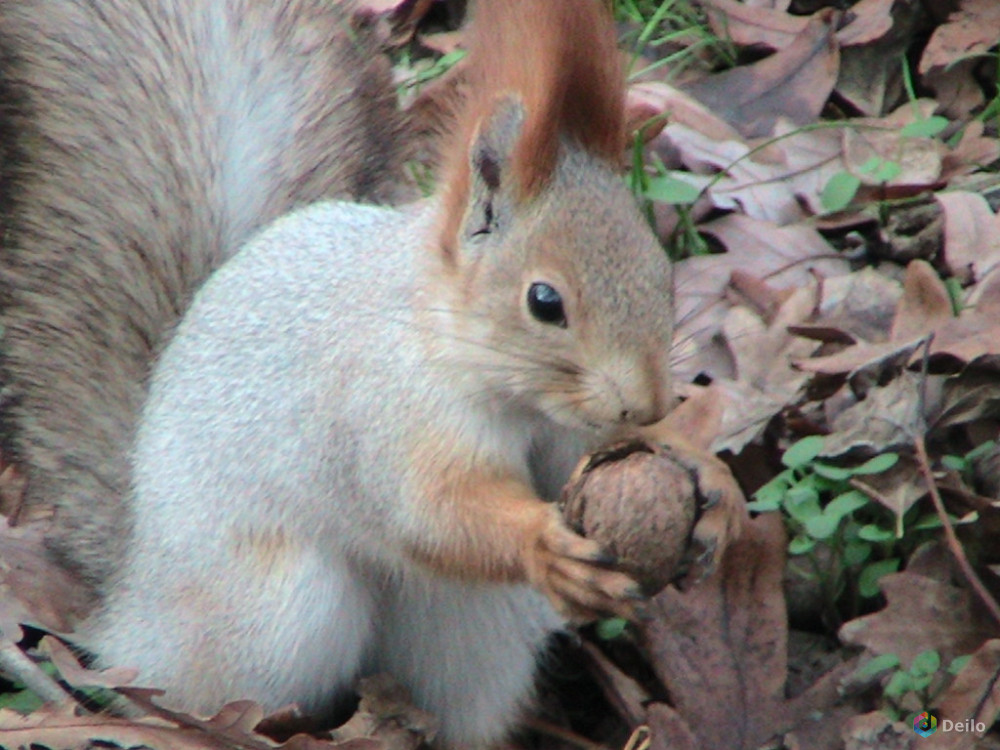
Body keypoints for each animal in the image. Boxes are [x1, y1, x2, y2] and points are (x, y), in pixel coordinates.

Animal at [0, 0, 744, 748]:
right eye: (544, 301)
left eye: (661, 269)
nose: (647, 404)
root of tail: (133, 602)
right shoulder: (383, 413)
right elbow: (431, 510)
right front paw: (540, 541)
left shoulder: (564, 435)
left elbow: (586, 466)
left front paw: (704, 473)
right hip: (276, 609)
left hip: (473, 629)